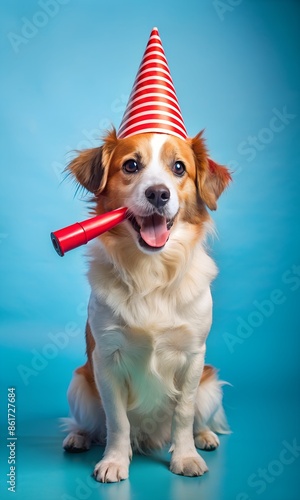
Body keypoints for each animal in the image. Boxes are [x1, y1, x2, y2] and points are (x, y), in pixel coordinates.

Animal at [62, 127, 232, 482]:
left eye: (179, 167)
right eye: (131, 165)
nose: (158, 194)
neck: (151, 272)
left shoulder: (193, 357)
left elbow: (183, 413)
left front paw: (186, 457)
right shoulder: (106, 358)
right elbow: (117, 420)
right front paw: (114, 460)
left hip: (210, 387)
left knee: (199, 418)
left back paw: (205, 437)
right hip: (78, 385)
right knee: (91, 425)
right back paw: (78, 437)